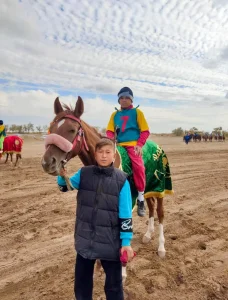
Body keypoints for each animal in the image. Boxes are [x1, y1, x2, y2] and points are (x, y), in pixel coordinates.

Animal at [41, 98, 173, 278]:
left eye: (72, 129)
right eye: (51, 128)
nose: (48, 162)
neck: (104, 168)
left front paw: (122, 272)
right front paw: (99, 266)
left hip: (160, 188)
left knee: (160, 213)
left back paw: (161, 248)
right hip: (149, 188)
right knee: (151, 207)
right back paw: (147, 235)